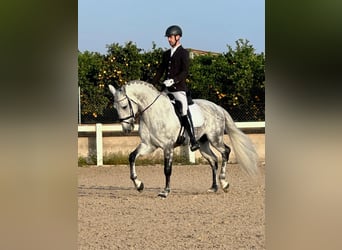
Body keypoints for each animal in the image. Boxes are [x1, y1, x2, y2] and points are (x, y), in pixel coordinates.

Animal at [108, 80, 258, 197]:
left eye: (124, 106)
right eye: (115, 107)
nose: (126, 129)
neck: (153, 112)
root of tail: (217, 107)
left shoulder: (168, 147)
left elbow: (167, 169)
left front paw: (165, 191)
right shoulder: (148, 145)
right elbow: (132, 157)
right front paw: (139, 185)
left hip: (215, 138)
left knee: (225, 151)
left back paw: (224, 183)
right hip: (203, 143)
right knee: (213, 160)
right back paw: (214, 187)